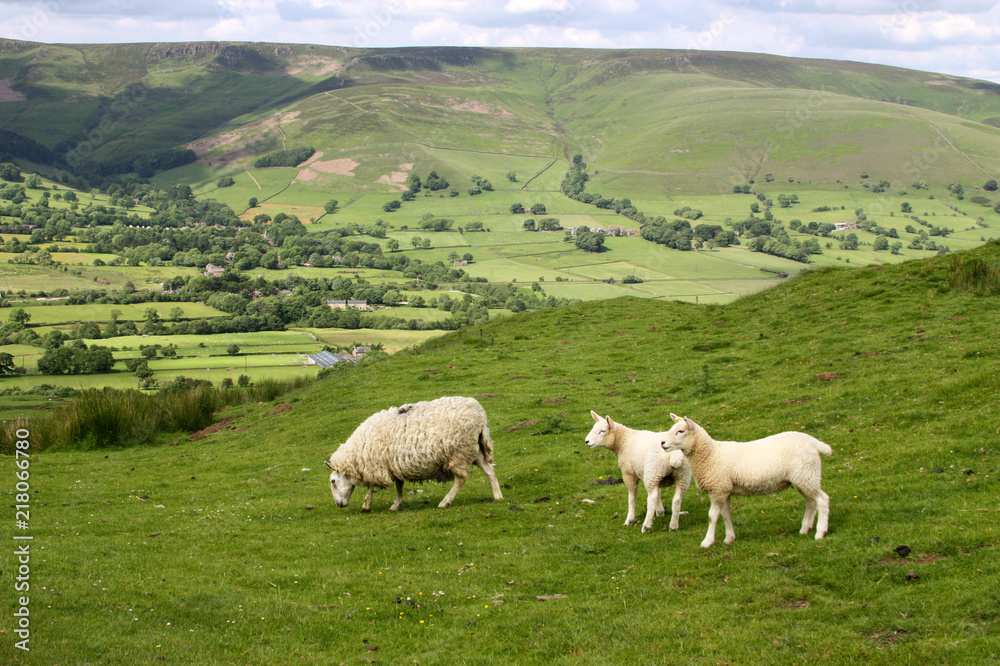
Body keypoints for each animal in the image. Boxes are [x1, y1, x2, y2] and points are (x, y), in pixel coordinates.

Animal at [325, 396, 504, 512]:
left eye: (333, 481)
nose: (338, 504)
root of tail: (480, 415)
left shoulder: (375, 463)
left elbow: (370, 485)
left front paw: (367, 504)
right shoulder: (392, 464)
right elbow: (399, 486)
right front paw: (396, 504)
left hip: (458, 452)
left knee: (461, 479)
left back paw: (445, 502)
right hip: (473, 449)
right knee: (490, 471)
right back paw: (498, 496)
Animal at [660, 414, 832, 548]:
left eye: (681, 431)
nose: (662, 442)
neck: (711, 454)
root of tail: (814, 442)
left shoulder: (718, 489)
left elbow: (712, 516)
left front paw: (707, 542)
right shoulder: (725, 489)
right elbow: (726, 515)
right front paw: (729, 538)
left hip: (806, 474)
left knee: (822, 500)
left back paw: (820, 532)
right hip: (804, 477)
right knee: (811, 502)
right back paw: (805, 529)